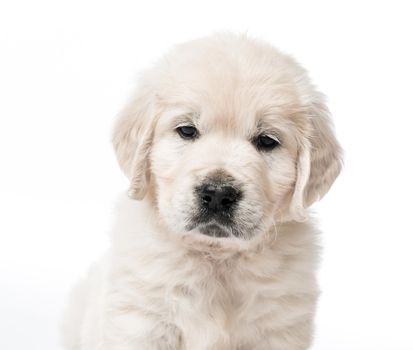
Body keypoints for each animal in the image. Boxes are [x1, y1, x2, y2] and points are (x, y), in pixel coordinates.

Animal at [62, 32, 342, 350]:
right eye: (187, 130)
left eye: (267, 141)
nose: (219, 194)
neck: (216, 258)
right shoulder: (141, 321)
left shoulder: (278, 328)